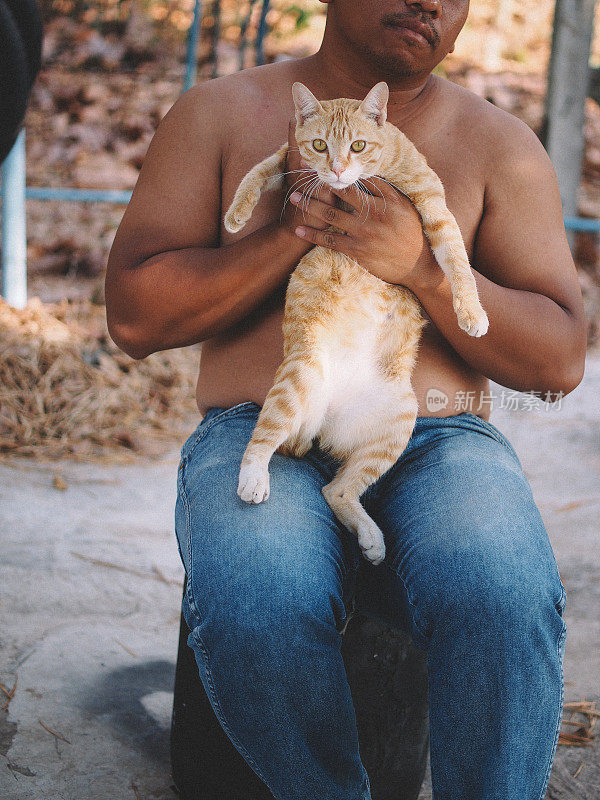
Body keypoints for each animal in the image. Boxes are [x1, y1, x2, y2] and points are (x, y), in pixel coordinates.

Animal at [224, 81, 488, 564]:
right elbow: (259, 171)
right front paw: (237, 214)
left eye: (358, 146)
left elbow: (457, 262)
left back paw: (370, 538)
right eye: (319, 145)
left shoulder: (435, 210)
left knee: (338, 489)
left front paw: (471, 313)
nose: (338, 169)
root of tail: (325, 420)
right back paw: (253, 480)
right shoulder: (291, 162)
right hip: (300, 379)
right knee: (262, 440)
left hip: (396, 422)